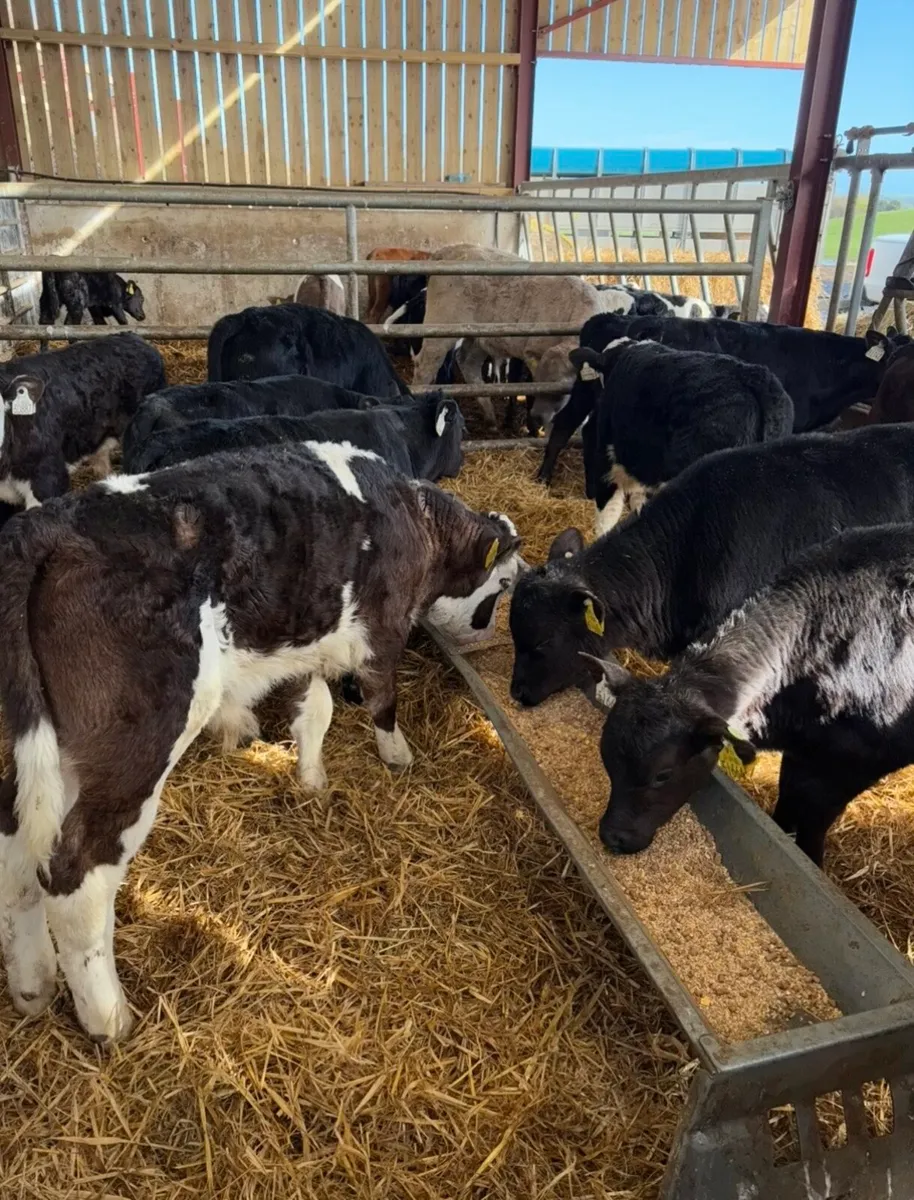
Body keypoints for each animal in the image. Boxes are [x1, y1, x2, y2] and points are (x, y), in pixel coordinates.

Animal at [0, 444, 522, 1043]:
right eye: (503, 586)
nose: (482, 635)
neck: (411, 514)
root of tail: (47, 524)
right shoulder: (382, 630)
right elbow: (382, 699)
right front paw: (398, 757)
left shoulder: (311, 642)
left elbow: (315, 713)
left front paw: (311, 779)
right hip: (135, 746)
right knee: (77, 877)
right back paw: (108, 1016)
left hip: (49, 749)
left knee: (16, 852)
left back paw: (33, 985)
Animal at [592, 523, 914, 866]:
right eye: (606, 756)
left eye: (662, 775)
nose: (612, 837)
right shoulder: (803, 755)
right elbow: (788, 805)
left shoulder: (852, 765)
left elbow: (813, 822)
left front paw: (811, 862)